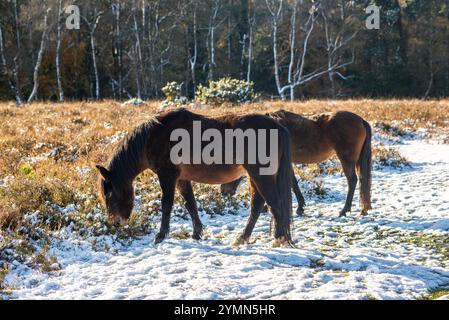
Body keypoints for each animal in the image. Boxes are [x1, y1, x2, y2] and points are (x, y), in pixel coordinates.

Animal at [97, 107, 294, 245]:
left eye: (109, 194)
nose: (115, 223)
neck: (153, 137)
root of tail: (278, 127)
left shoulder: (167, 176)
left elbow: (167, 204)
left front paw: (160, 235)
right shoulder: (181, 179)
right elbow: (190, 203)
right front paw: (197, 233)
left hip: (260, 175)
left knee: (273, 203)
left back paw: (279, 238)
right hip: (255, 175)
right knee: (257, 205)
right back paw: (243, 238)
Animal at [220, 110, 372, 218]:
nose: (223, 191)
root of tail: (361, 120)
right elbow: (293, 183)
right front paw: (300, 207)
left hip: (346, 158)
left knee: (352, 180)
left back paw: (344, 210)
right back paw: (363, 209)